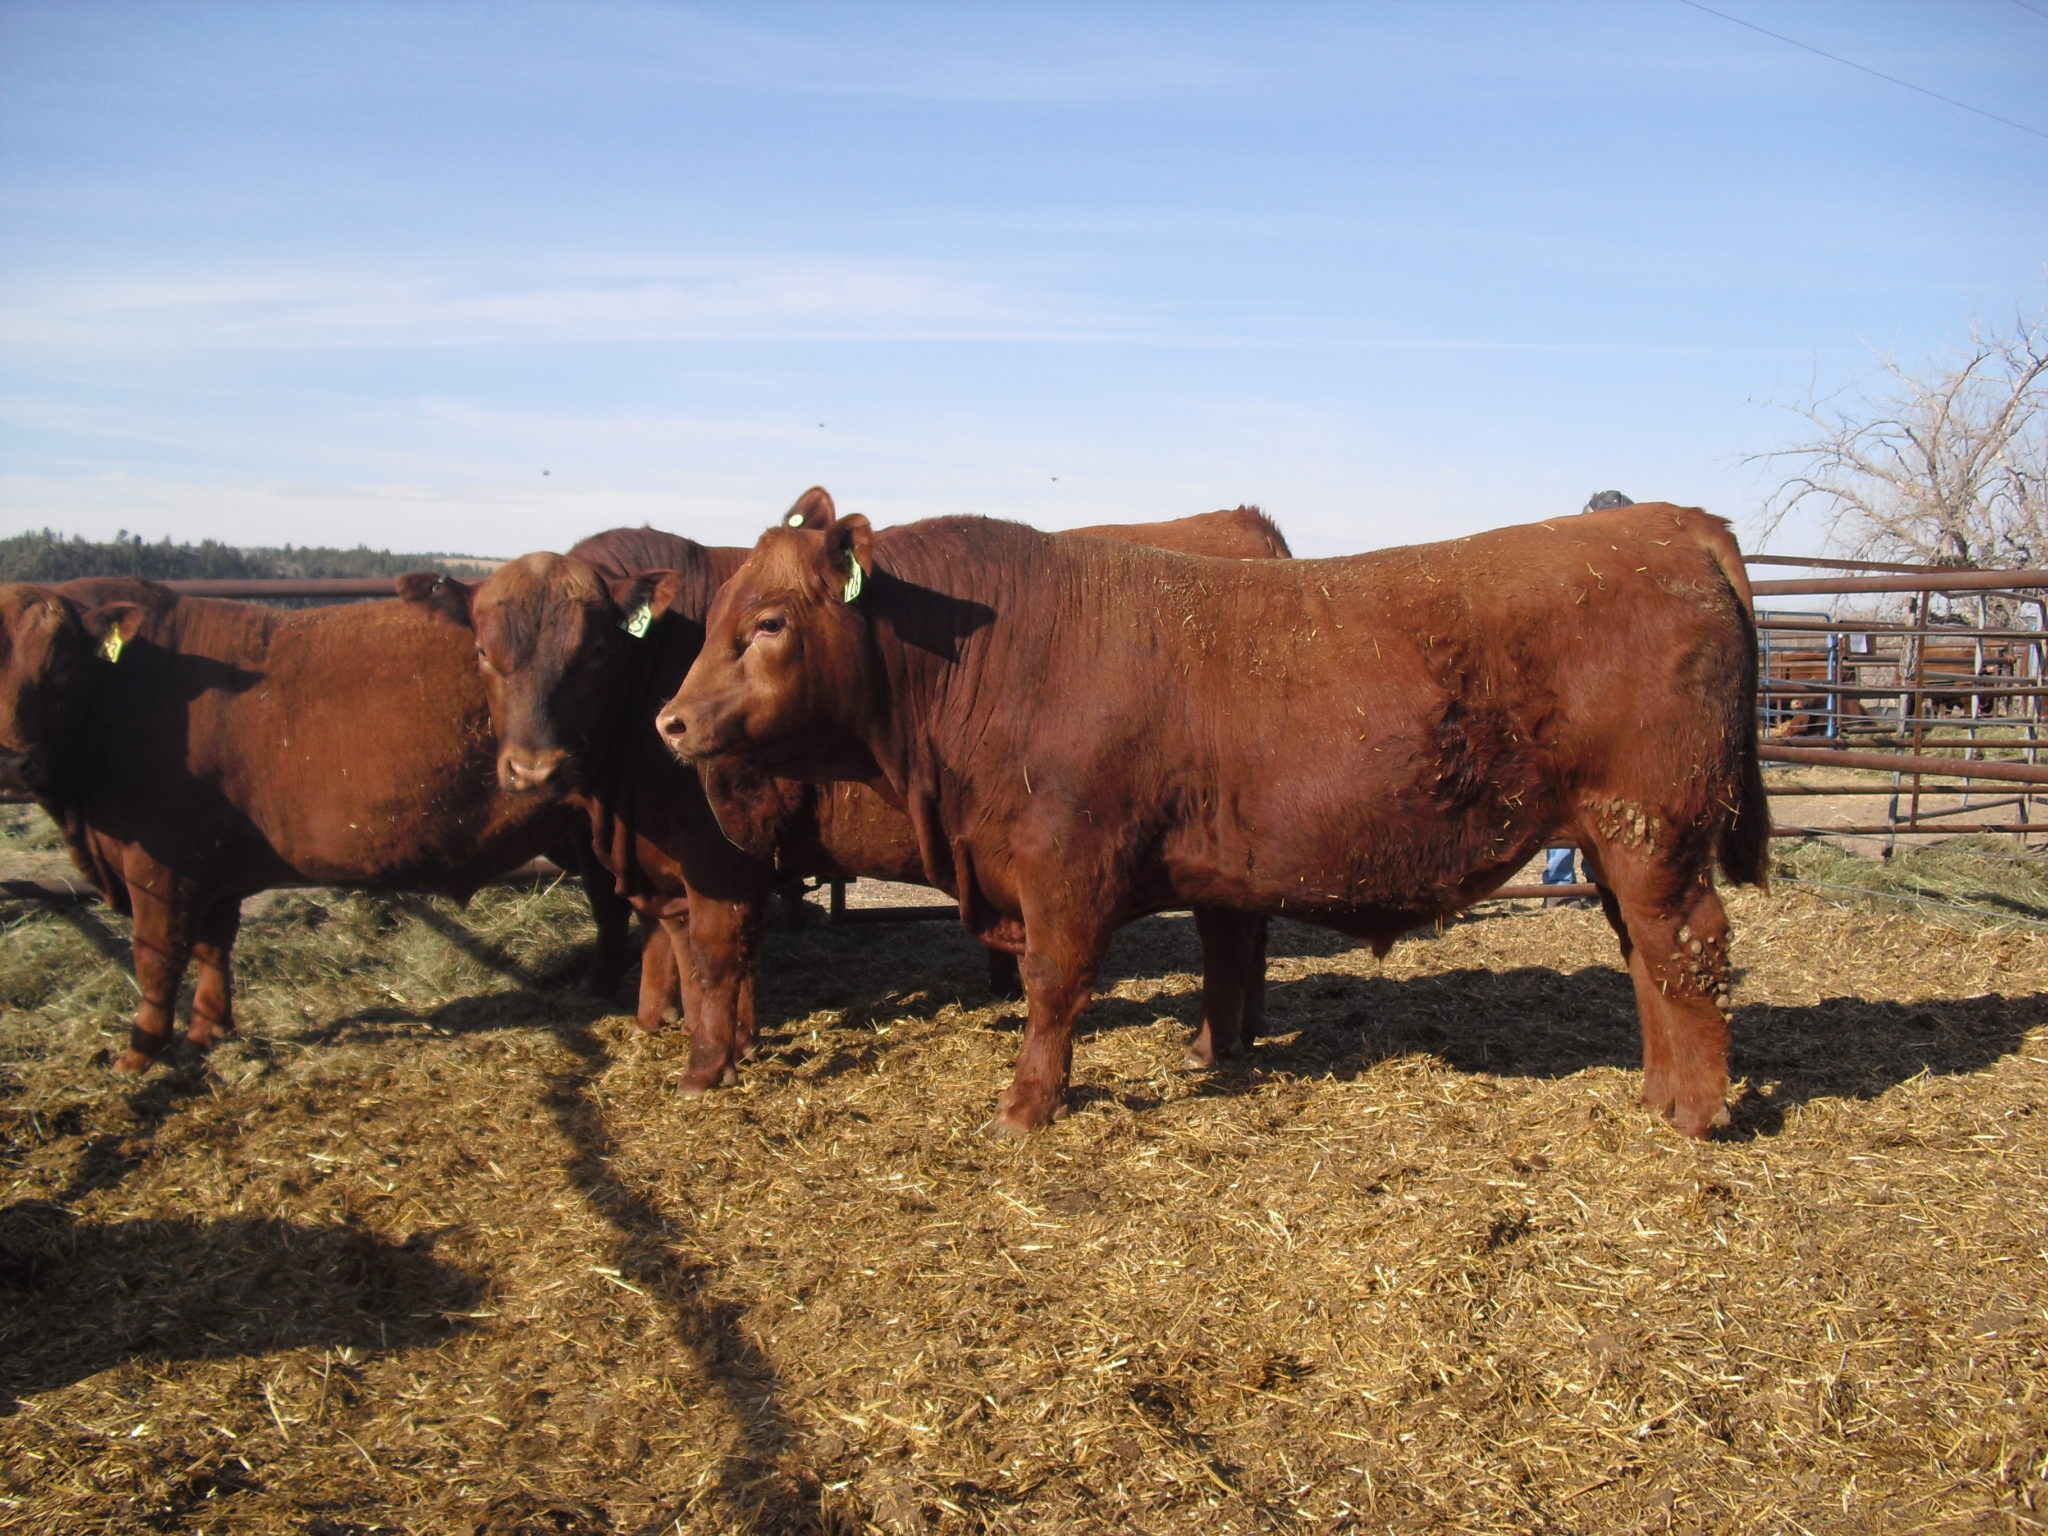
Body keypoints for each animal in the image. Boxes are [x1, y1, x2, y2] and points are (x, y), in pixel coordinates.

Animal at [0, 577, 633, 1071]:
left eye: (60, 664)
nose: (11, 762)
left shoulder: (161, 866)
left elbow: (156, 958)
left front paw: (140, 1051)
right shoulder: (210, 864)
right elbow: (212, 946)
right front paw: (209, 1028)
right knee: (610, 903)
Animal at [417, 492, 1288, 1092]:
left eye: (595, 648)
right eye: (485, 652)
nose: (534, 767)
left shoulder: (715, 855)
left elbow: (712, 955)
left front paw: (705, 1064)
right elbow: (694, 953)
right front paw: (715, 1037)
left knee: (1231, 930)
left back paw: (1217, 1040)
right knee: (1239, 929)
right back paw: (1232, 1034)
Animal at [657, 503, 1771, 1139]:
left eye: (767, 622)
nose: (670, 721)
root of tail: (1667, 521)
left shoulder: (1065, 867)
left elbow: (1053, 989)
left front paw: (1025, 1109)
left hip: (1654, 831)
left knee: (1689, 948)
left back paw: (1698, 1113)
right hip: (1617, 840)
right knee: (1646, 957)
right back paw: (1657, 1093)